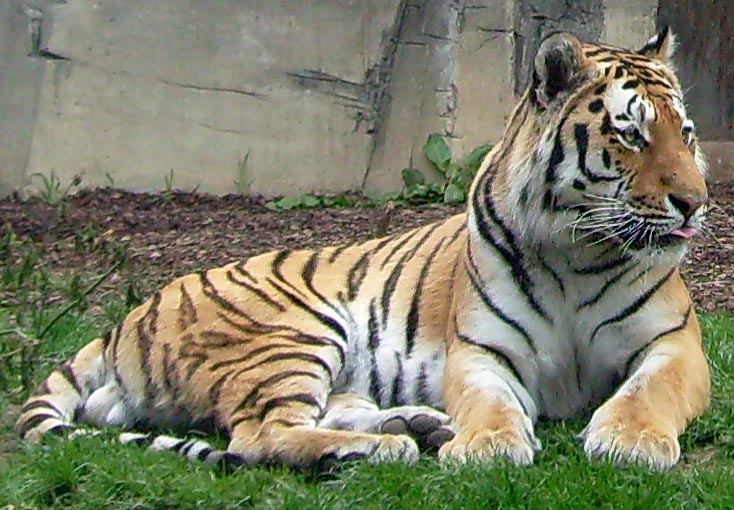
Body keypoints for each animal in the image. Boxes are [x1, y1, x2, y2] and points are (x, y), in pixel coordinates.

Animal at [17, 25, 712, 468]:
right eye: (630, 134)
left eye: (685, 132)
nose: (697, 202)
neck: (577, 249)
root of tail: (124, 319)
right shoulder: (483, 352)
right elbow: (488, 402)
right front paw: (485, 447)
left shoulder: (672, 344)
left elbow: (648, 392)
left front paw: (629, 442)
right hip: (287, 331)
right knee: (260, 435)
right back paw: (389, 444)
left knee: (310, 413)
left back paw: (413, 424)